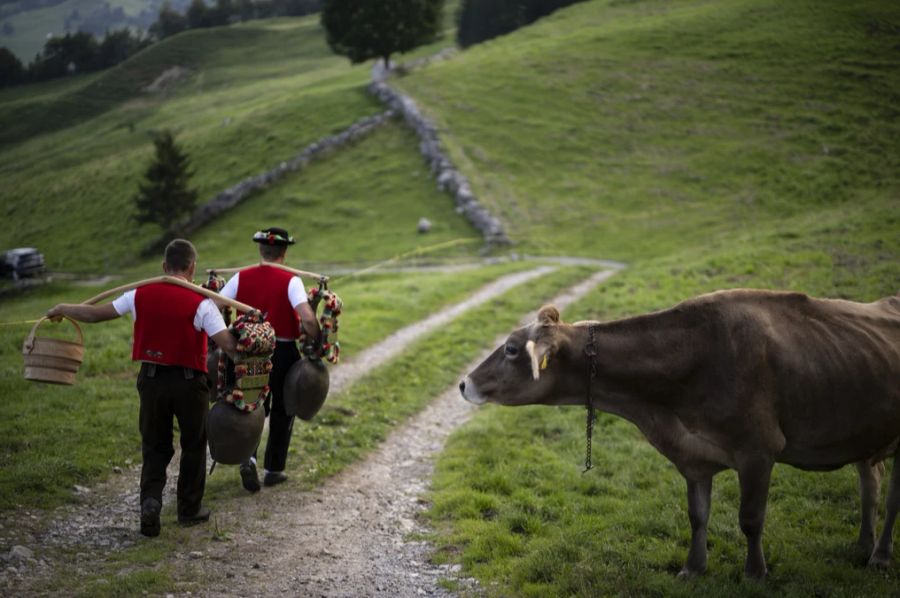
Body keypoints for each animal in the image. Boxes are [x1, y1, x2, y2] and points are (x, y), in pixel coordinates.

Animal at [460, 290, 896, 580]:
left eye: (512, 349)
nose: (464, 383)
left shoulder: (758, 449)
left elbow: (750, 518)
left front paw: (755, 573)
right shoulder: (693, 456)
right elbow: (697, 515)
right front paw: (692, 568)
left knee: (892, 500)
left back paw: (880, 556)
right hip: (864, 432)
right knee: (870, 483)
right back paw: (862, 545)